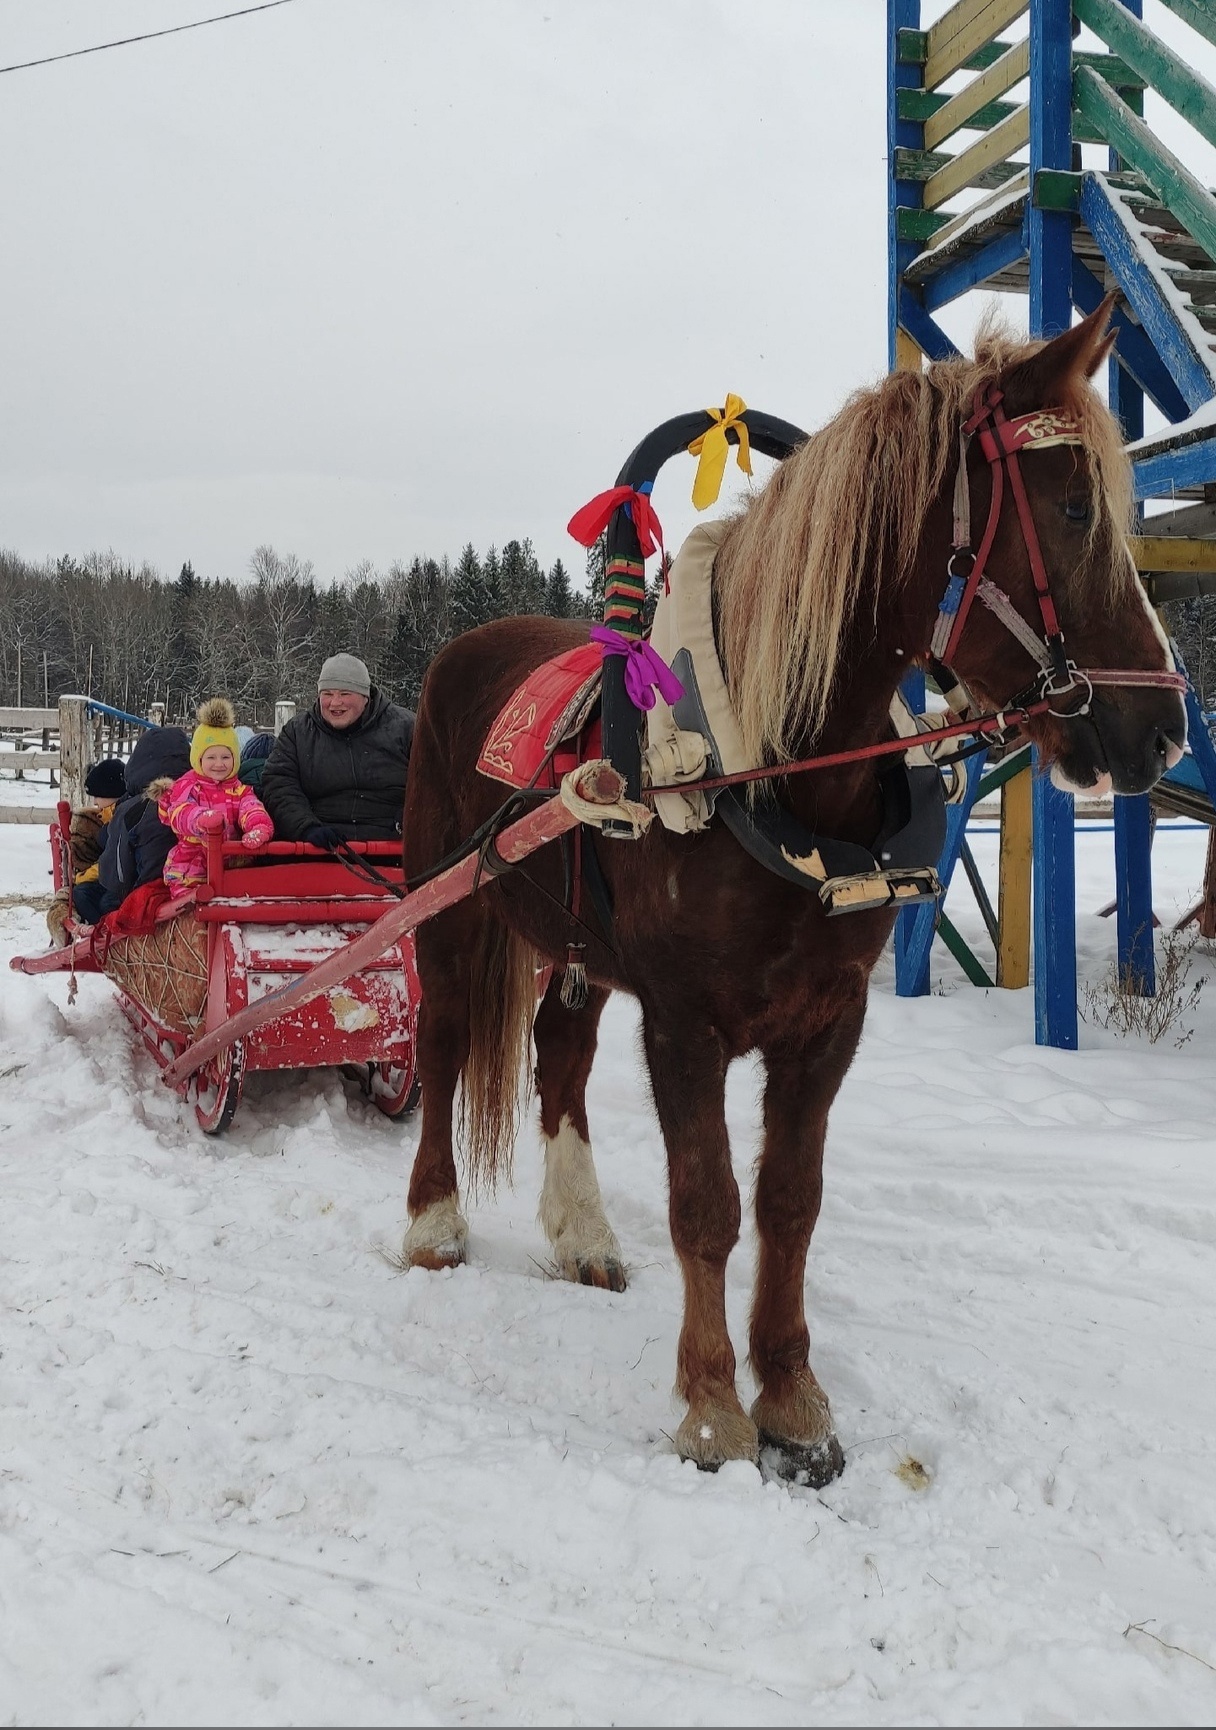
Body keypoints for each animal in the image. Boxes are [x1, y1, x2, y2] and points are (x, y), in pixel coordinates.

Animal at [398, 298, 1186, 1484]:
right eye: (1073, 504)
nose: (1163, 726)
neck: (772, 766)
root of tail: (463, 652)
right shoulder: (683, 1022)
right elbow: (707, 1204)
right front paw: (713, 1407)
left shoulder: (828, 1020)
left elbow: (788, 1201)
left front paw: (795, 1399)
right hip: (446, 905)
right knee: (446, 1041)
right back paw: (435, 1221)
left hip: (579, 945)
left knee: (558, 1052)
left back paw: (582, 1231)